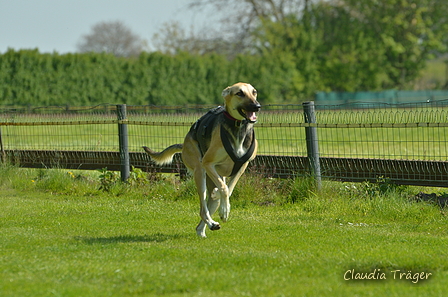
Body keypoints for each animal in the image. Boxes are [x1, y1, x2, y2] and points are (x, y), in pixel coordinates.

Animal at [144, 82, 260, 237]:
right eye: (239, 93)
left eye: (254, 92)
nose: (257, 106)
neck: (238, 128)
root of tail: (184, 144)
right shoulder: (208, 163)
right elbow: (224, 188)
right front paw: (225, 211)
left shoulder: (242, 165)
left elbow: (228, 189)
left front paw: (221, 200)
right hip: (200, 172)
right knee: (203, 209)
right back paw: (211, 222)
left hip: (212, 179)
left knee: (208, 209)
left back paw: (207, 226)